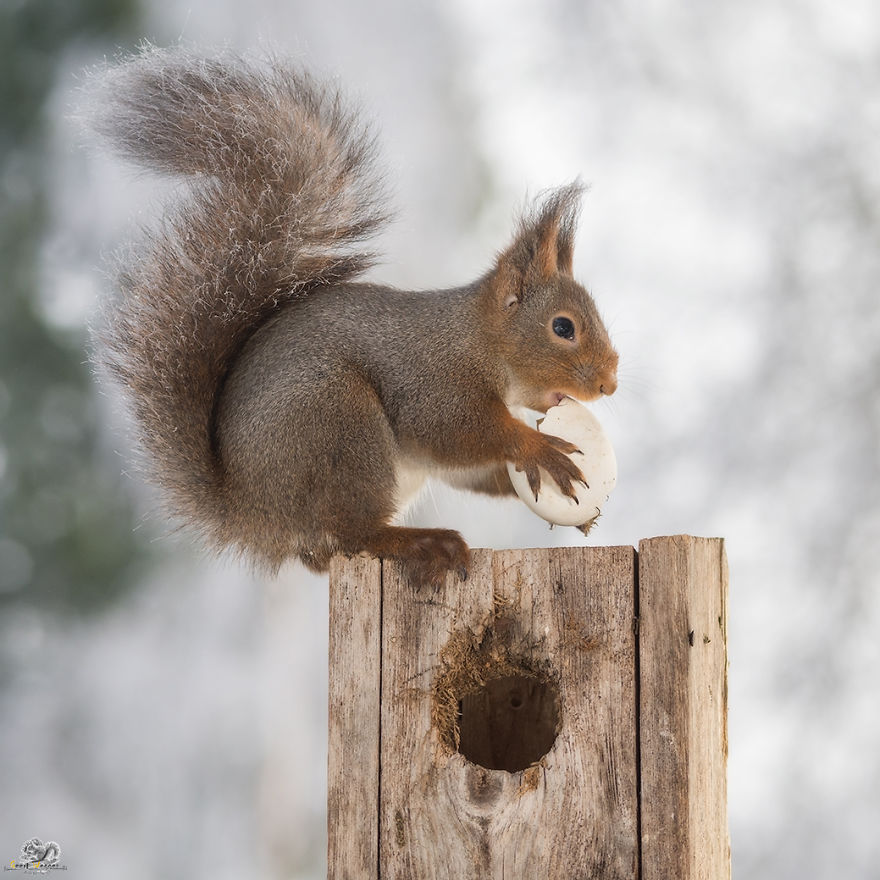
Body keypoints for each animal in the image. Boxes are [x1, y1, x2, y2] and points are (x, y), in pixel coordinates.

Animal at [90, 46, 619, 586]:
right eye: (562, 327)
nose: (609, 384)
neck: (478, 341)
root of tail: (251, 513)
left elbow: (468, 466)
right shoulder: (434, 384)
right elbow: (459, 431)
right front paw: (539, 449)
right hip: (338, 424)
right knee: (354, 533)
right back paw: (423, 542)